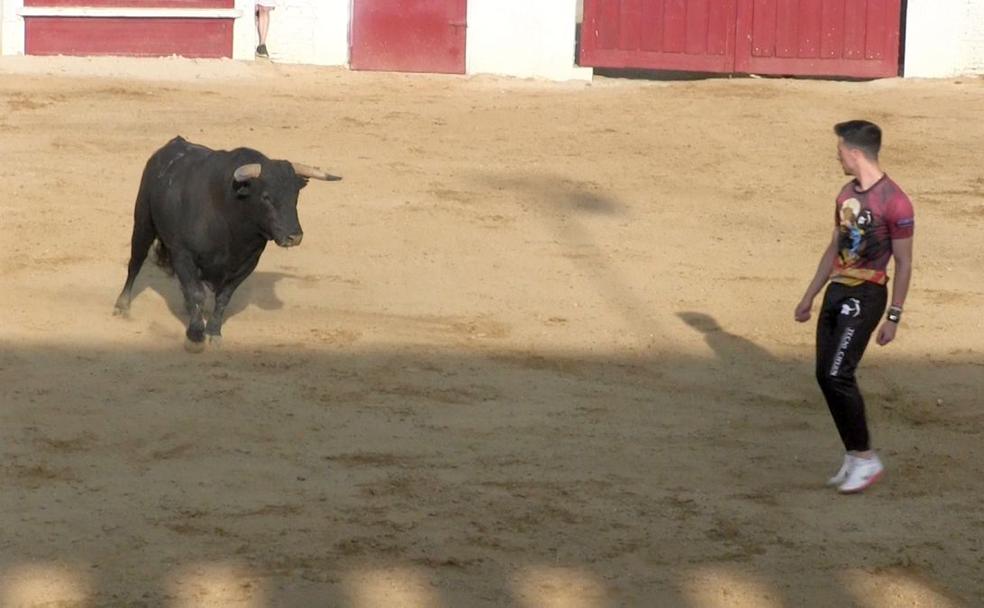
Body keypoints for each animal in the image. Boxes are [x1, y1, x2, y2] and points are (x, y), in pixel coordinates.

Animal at [113, 135, 338, 350]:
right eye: (266, 197)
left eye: (295, 196)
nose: (294, 236)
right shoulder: (183, 254)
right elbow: (197, 293)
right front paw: (195, 337)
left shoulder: (247, 264)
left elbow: (223, 299)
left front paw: (213, 333)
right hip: (143, 222)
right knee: (136, 262)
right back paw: (122, 306)